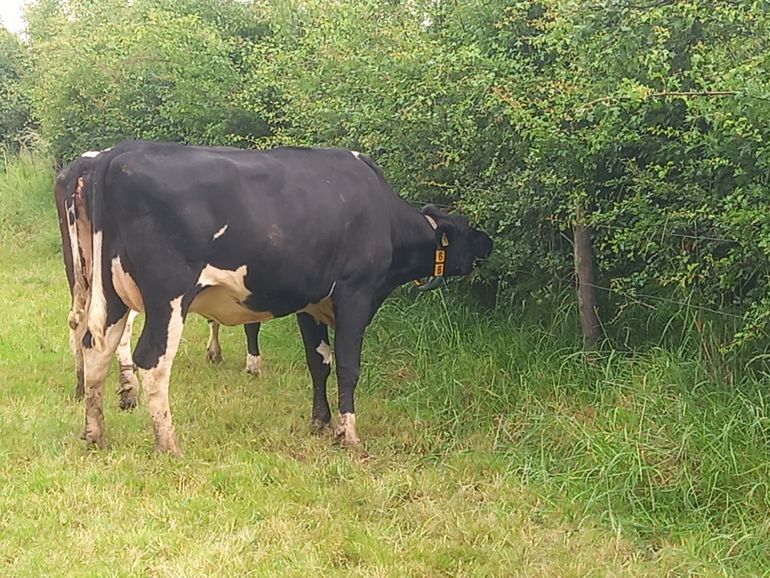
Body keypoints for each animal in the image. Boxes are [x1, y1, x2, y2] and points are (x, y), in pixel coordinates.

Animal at [53, 150, 264, 404]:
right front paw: (251, 365)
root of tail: (85, 162)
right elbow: (250, 323)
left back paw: (81, 385)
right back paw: (128, 386)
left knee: (79, 323)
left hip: (80, 273)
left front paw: (214, 352)